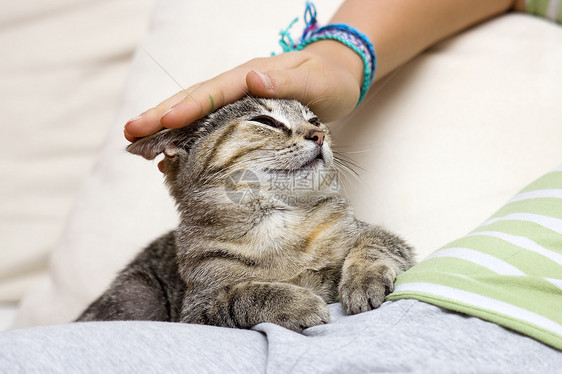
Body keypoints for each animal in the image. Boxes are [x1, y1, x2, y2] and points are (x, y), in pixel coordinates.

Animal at [76, 96, 414, 330]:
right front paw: (296, 302)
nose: (318, 134)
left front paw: (363, 279)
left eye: (315, 119)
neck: (283, 223)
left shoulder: (373, 234)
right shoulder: (197, 309)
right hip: (137, 292)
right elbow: (241, 294)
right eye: (266, 121)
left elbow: (373, 242)